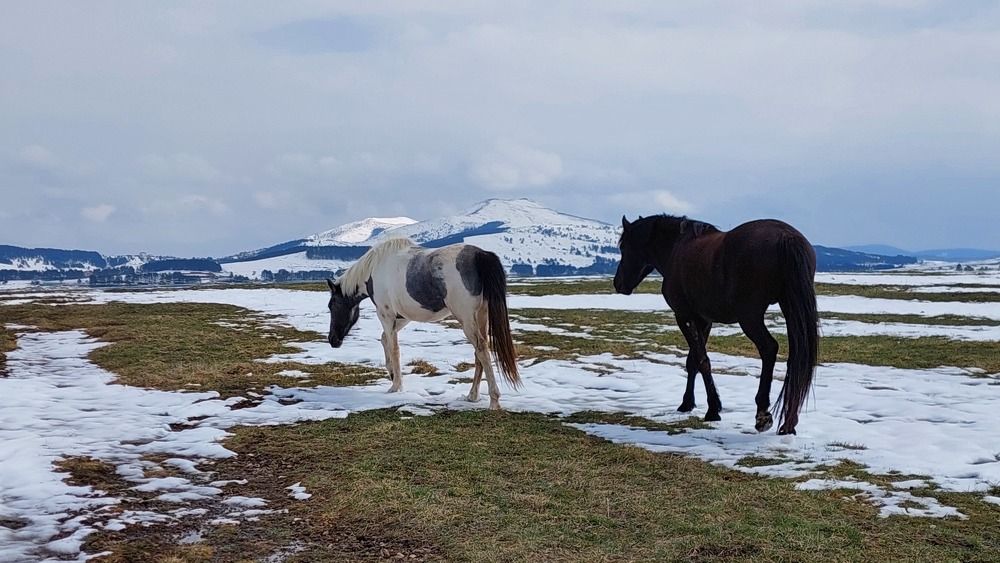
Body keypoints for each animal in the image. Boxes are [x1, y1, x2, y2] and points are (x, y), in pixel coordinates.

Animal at [326, 237, 520, 410]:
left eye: (332, 305)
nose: (332, 340)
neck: (374, 269)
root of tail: (480, 254)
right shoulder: (402, 316)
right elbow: (385, 340)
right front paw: (392, 374)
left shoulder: (386, 314)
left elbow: (394, 348)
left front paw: (395, 386)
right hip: (480, 315)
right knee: (479, 352)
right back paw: (472, 396)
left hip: (466, 319)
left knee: (481, 350)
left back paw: (494, 401)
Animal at [614, 215, 819, 435]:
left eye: (623, 247)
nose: (618, 283)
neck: (676, 248)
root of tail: (786, 237)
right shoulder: (705, 320)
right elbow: (693, 361)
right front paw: (687, 403)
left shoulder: (684, 316)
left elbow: (702, 360)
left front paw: (712, 409)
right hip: (790, 308)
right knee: (797, 357)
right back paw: (789, 423)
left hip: (750, 317)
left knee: (769, 348)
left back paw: (763, 414)